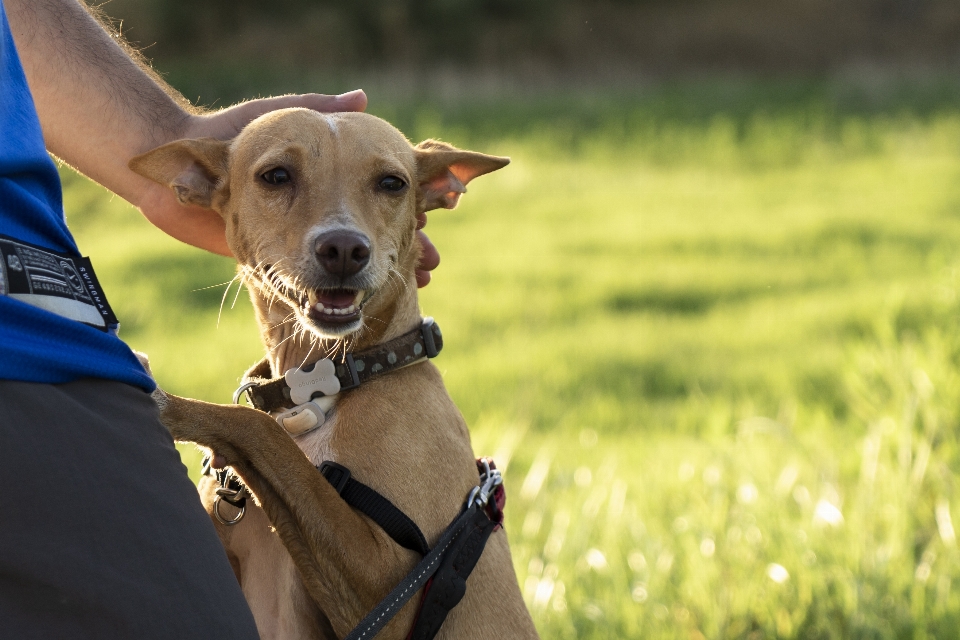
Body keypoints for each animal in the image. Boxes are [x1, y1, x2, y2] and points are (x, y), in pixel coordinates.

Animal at [130, 111, 540, 640]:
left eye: (392, 183)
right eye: (276, 176)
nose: (344, 248)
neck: (322, 386)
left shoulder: (394, 589)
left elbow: (261, 431)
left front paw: (171, 404)